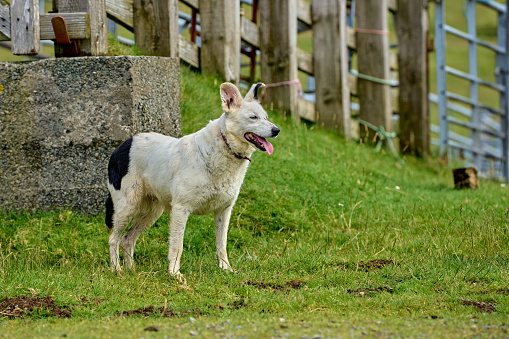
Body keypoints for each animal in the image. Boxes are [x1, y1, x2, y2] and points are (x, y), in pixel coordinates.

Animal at [105, 83, 280, 282]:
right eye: (253, 117)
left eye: (266, 117)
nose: (276, 130)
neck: (225, 146)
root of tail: (121, 147)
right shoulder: (181, 209)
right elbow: (177, 245)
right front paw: (174, 273)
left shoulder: (224, 210)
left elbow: (222, 244)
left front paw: (226, 269)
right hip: (127, 206)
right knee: (114, 239)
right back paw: (117, 270)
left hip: (151, 212)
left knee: (127, 239)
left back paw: (131, 270)